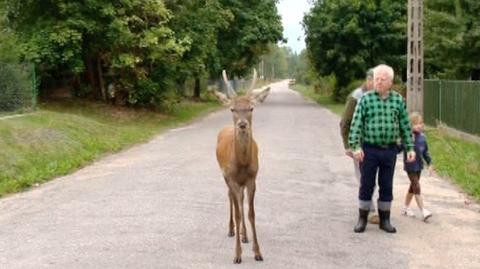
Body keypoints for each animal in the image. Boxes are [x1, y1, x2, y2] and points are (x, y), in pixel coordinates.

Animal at [214, 68, 270, 262]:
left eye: (251, 107)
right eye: (232, 108)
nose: (242, 124)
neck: (242, 164)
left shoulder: (253, 178)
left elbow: (251, 213)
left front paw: (257, 252)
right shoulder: (231, 177)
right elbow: (238, 213)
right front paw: (237, 255)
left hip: (242, 182)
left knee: (240, 199)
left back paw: (244, 235)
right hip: (224, 175)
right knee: (231, 197)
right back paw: (232, 230)